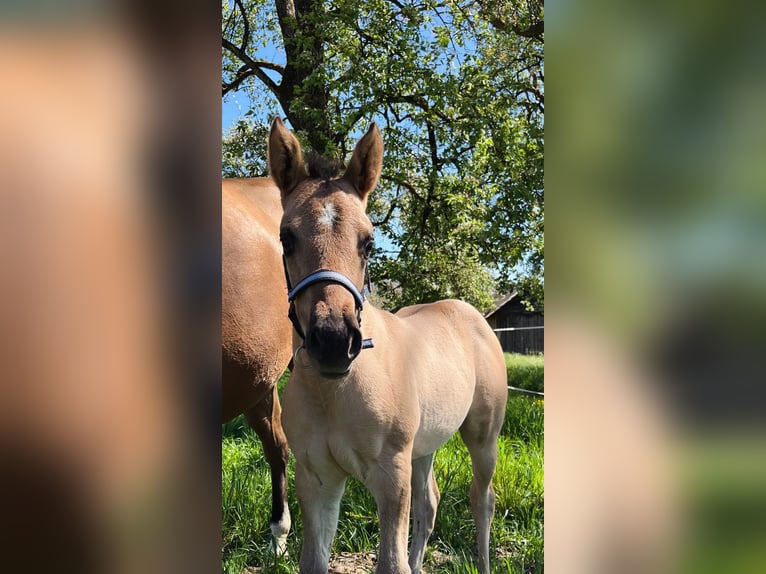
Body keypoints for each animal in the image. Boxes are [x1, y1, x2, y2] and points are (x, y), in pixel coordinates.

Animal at [268, 117, 508, 574]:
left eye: (368, 241)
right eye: (286, 238)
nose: (333, 342)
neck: (336, 392)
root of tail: (471, 315)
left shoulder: (390, 474)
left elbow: (391, 562)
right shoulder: (317, 478)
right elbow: (315, 561)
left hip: (483, 436)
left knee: (482, 499)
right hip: (424, 446)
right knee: (430, 503)